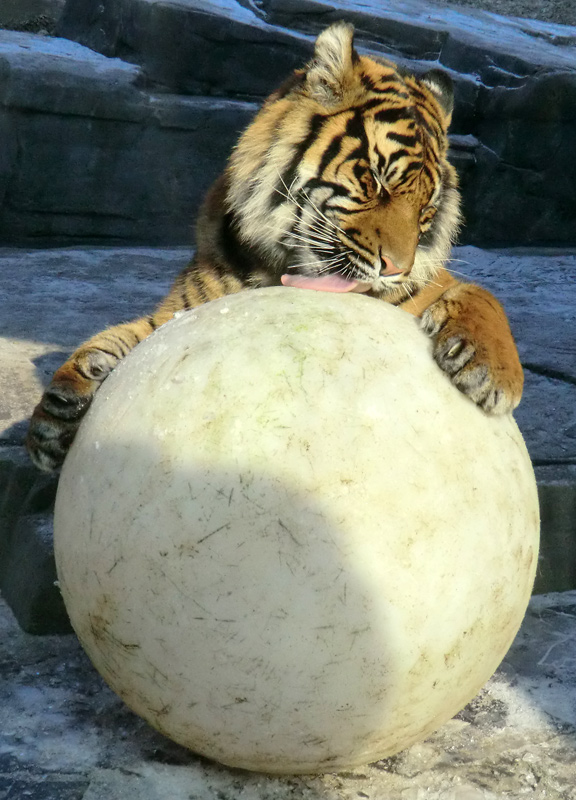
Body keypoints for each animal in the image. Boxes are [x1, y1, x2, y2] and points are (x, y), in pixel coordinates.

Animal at [25, 21, 520, 472]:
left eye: (425, 208)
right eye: (377, 181)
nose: (396, 268)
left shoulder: (421, 290)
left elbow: (482, 295)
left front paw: (493, 378)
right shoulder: (180, 311)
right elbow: (118, 336)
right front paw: (58, 408)